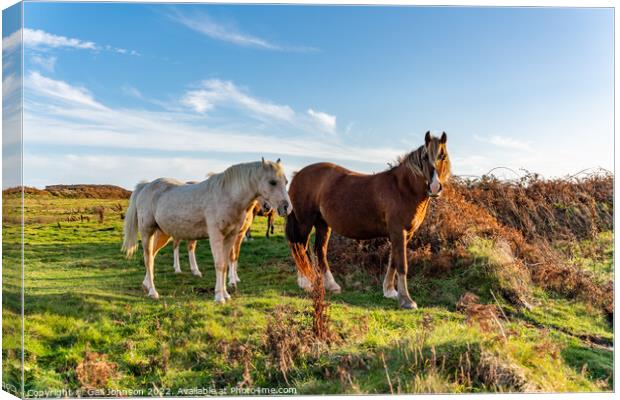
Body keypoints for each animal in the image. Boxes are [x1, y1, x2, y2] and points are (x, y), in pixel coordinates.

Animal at [124, 159, 294, 304]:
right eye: (272, 182)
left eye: (286, 182)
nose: (286, 208)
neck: (228, 195)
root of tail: (145, 186)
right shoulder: (216, 236)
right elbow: (220, 264)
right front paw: (219, 297)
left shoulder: (231, 236)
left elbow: (226, 263)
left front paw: (226, 293)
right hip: (147, 232)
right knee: (148, 259)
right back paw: (153, 292)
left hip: (163, 234)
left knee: (152, 255)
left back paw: (146, 284)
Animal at [286, 131, 450, 310]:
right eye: (425, 157)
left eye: (443, 156)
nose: (434, 188)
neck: (402, 187)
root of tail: (298, 174)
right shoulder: (398, 231)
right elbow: (402, 264)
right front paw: (406, 300)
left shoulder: (405, 234)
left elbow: (393, 261)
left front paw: (389, 291)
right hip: (304, 222)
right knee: (300, 247)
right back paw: (305, 282)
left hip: (322, 223)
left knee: (319, 251)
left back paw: (331, 285)